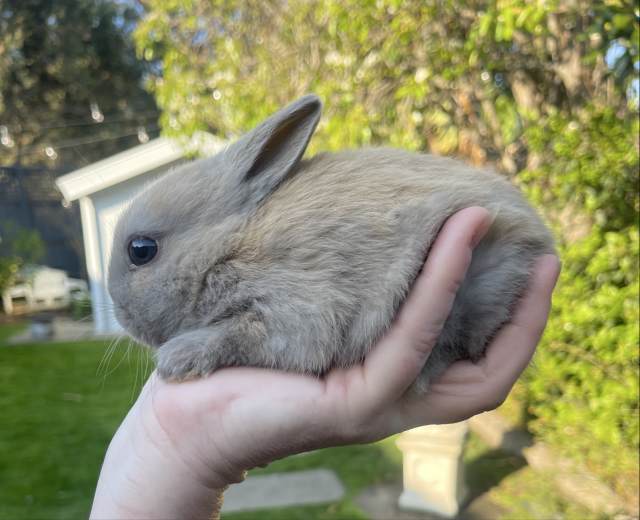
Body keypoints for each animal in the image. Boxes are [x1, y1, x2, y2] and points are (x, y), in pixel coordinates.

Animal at [107, 94, 555, 393]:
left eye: (141, 250)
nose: (122, 318)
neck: (228, 244)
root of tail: (544, 238)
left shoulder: (297, 307)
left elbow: (239, 334)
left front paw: (177, 359)